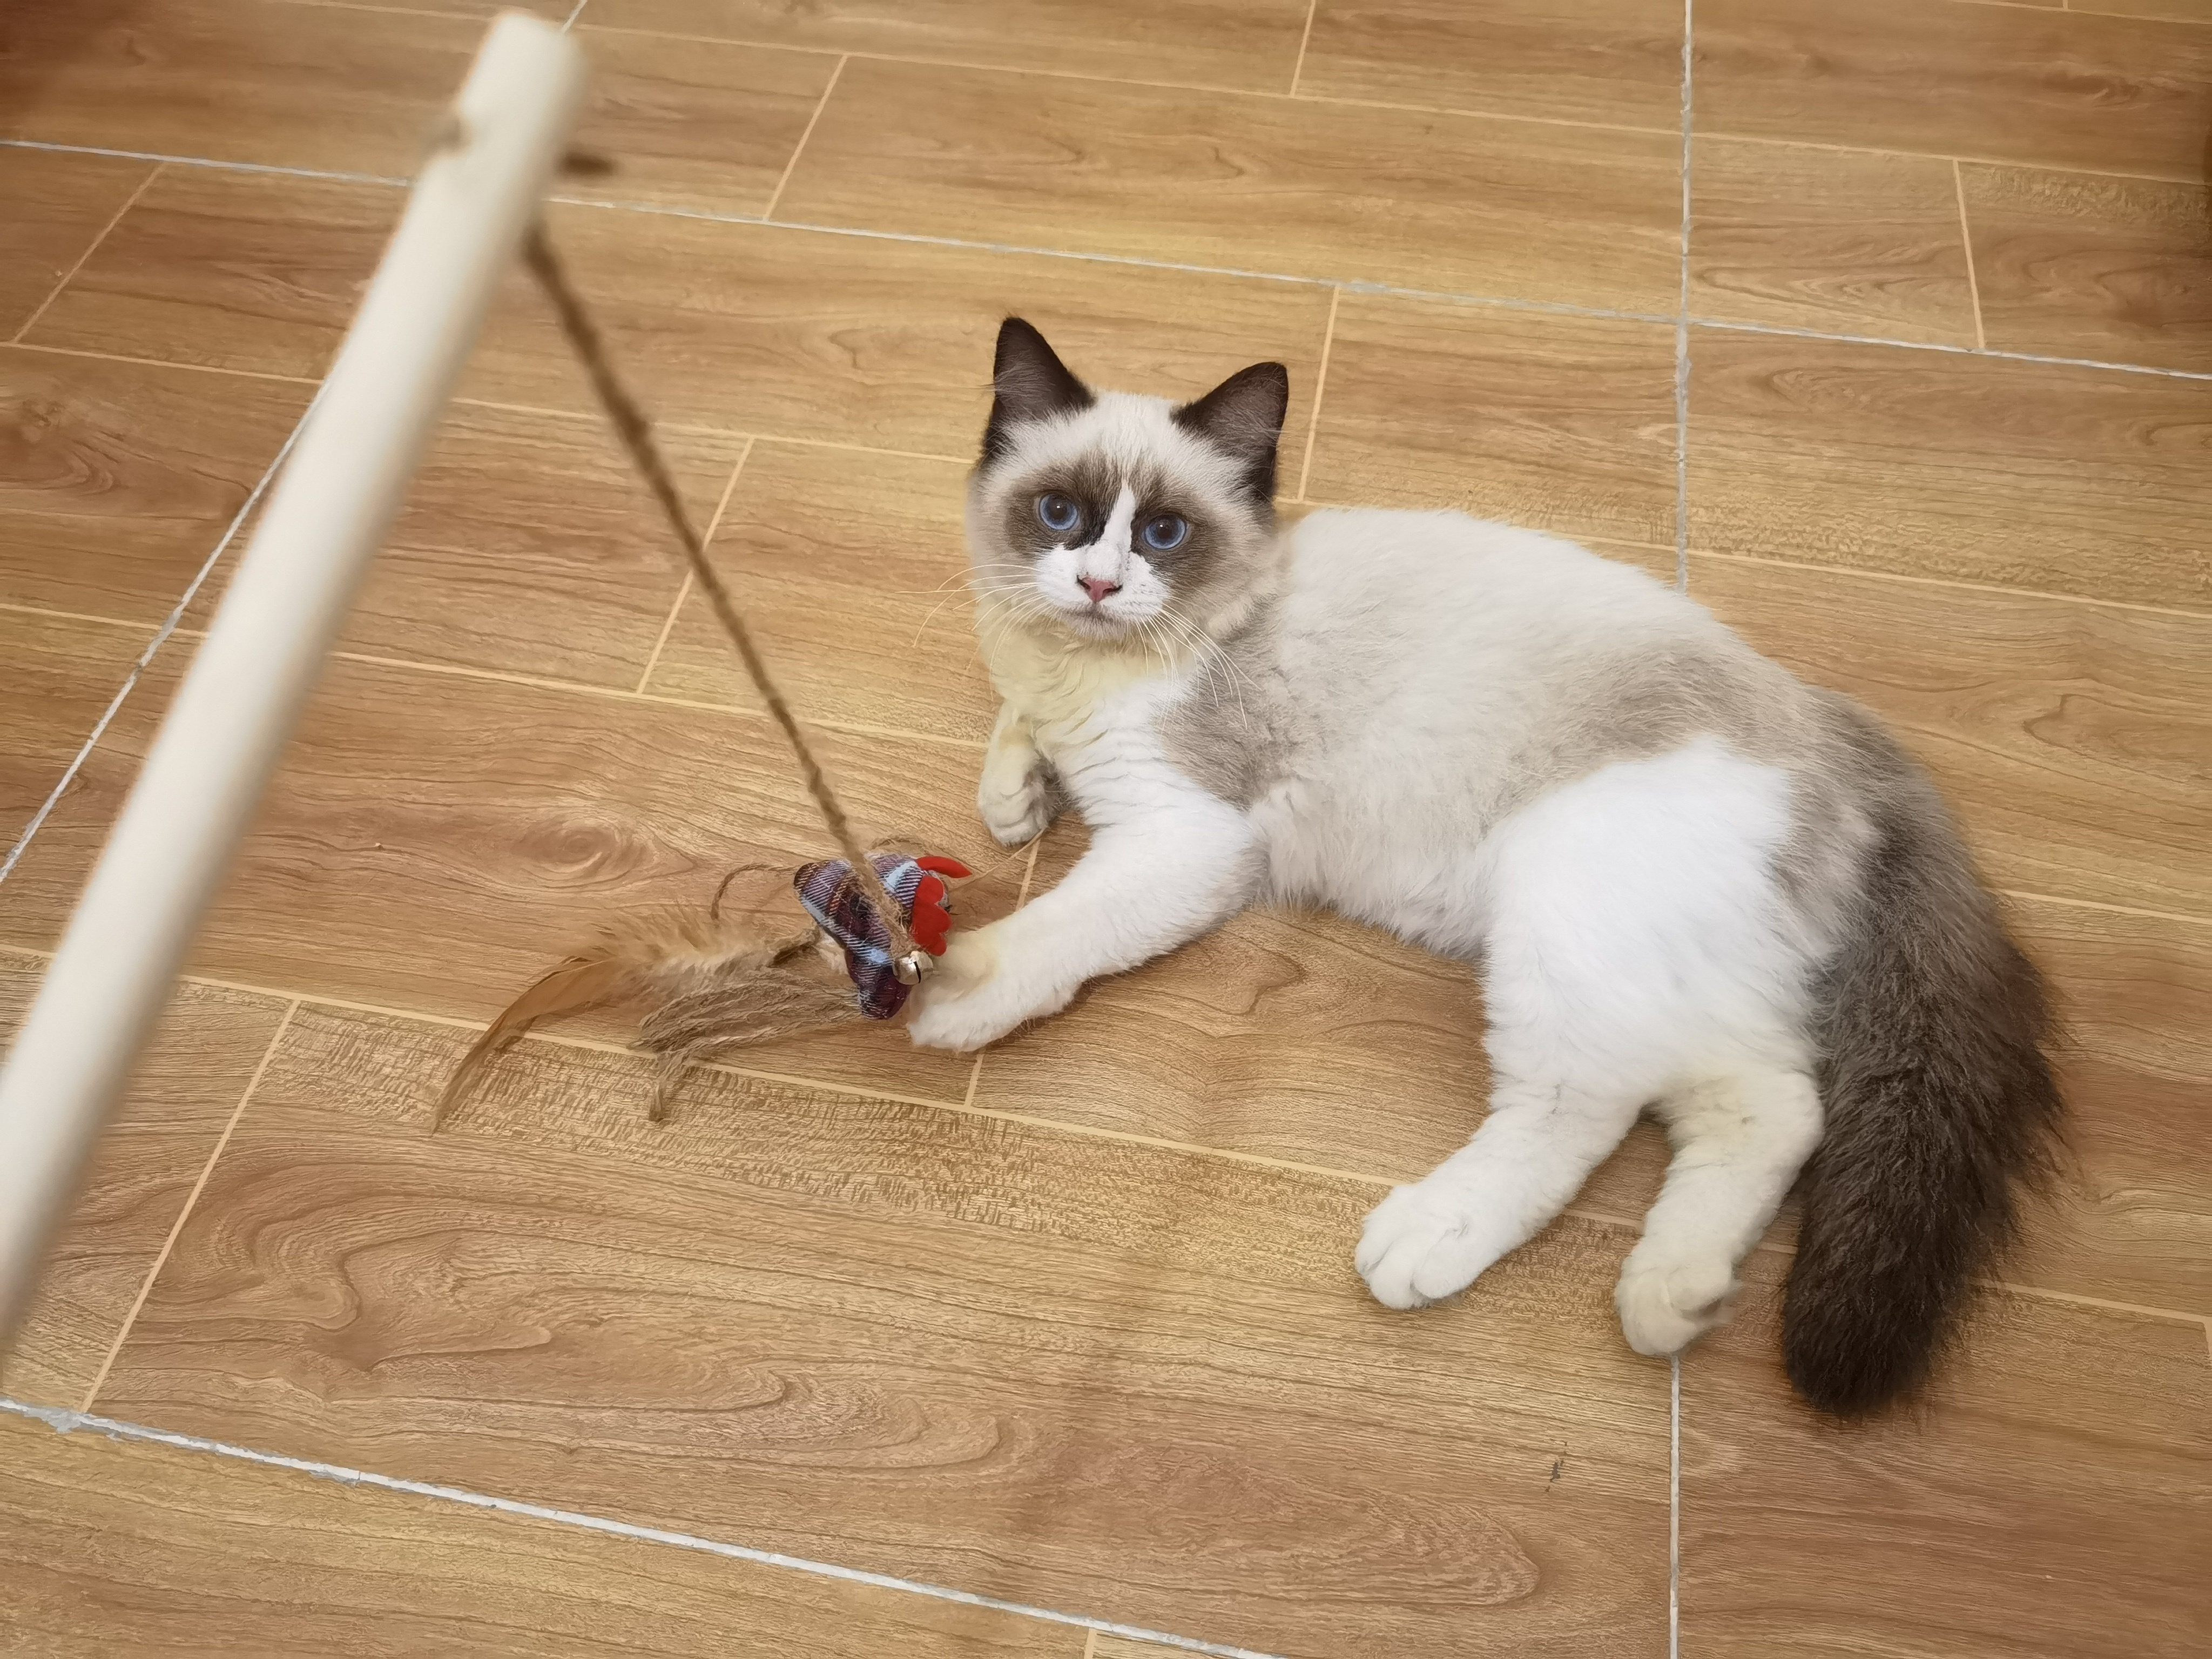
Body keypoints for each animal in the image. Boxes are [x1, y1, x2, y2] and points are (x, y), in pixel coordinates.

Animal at [898, 314, 2053, 1415]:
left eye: (1164, 533)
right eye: (1060, 515)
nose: (1097, 583)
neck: (1091, 667)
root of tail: (1825, 726)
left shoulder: (1183, 836)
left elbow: (1049, 930)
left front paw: (944, 989)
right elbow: (1012, 734)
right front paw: (1015, 800)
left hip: (1560, 917)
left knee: (1584, 1110)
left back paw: (1433, 1241)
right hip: (1668, 968)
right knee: (1774, 1100)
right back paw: (1671, 1298)